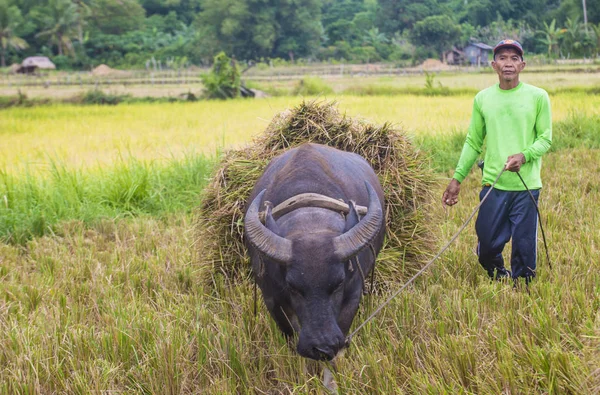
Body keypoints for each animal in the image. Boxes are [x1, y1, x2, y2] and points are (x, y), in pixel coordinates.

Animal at [243, 143, 384, 362]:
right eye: (292, 287)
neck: (311, 221)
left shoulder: (353, 293)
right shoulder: (272, 299)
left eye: (339, 283)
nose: (322, 347)